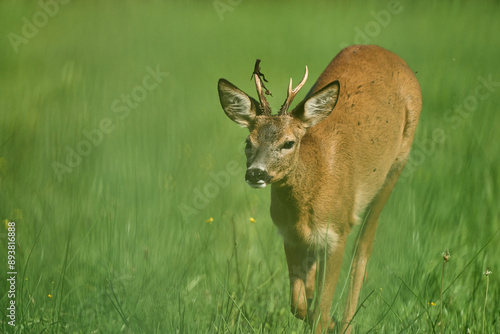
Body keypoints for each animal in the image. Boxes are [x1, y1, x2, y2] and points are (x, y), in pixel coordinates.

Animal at [217, 45, 420, 334]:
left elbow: (322, 311)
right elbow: (298, 304)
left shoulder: (336, 233)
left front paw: (330, 321)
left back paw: (346, 323)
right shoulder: (289, 234)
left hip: (397, 164)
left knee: (363, 249)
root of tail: (384, 51)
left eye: (288, 143)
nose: (256, 172)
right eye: (248, 141)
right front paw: (315, 310)